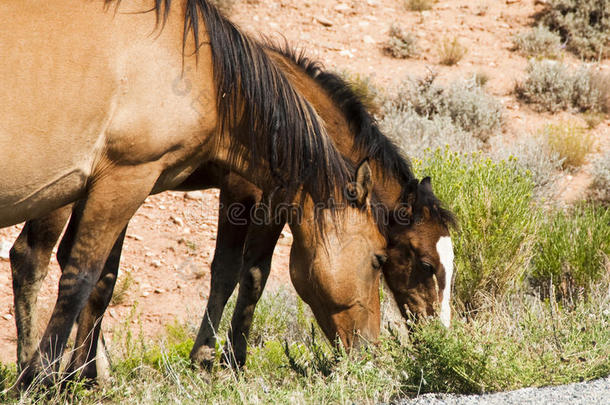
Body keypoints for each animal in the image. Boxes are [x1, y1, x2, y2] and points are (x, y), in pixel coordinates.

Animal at [4, 0, 452, 382]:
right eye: (425, 264)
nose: (440, 336)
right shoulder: (247, 195)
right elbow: (240, 272)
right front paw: (222, 359)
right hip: (60, 193)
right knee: (32, 258)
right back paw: (36, 370)